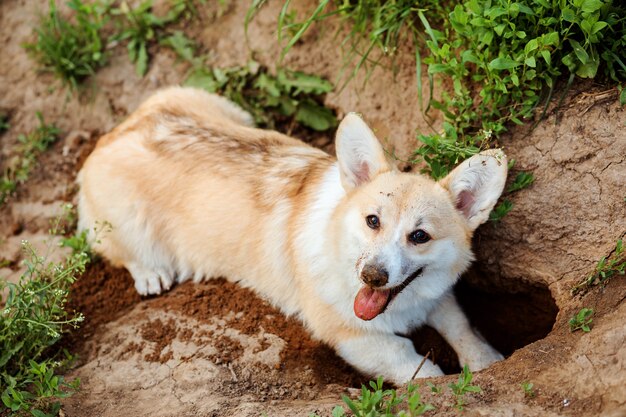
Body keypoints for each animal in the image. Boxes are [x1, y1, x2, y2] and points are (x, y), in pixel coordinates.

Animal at [78, 88, 508, 384]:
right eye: (372, 221)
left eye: (419, 236)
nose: (372, 276)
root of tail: (111, 135)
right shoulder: (355, 338)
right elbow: (420, 368)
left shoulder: (438, 297)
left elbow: (463, 327)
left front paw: (490, 363)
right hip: (126, 224)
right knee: (119, 251)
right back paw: (150, 274)